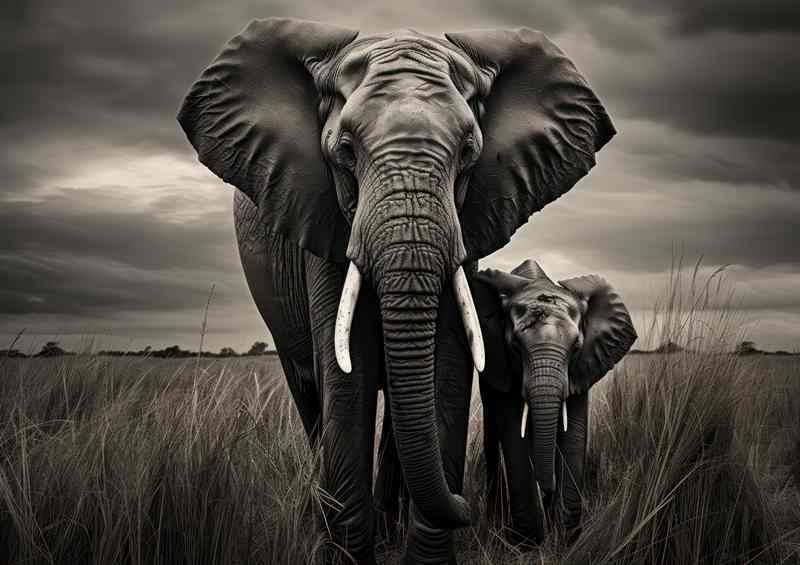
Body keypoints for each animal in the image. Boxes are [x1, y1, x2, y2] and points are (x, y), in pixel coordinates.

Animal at [177, 17, 615, 564]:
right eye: (344, 151)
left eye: (469, 153)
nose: (467, 507)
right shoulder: (319, 212)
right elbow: (348, 375)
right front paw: (348, 552)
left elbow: (448, 364)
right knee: (310, 393)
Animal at [473, 259, 637, 545]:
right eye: (514, 347)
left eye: (576, 347)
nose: (547, 490)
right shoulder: (501, 363)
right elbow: (514, 434)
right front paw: (527, 543)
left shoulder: (582, 368)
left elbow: (574, 434)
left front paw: (566, 538)